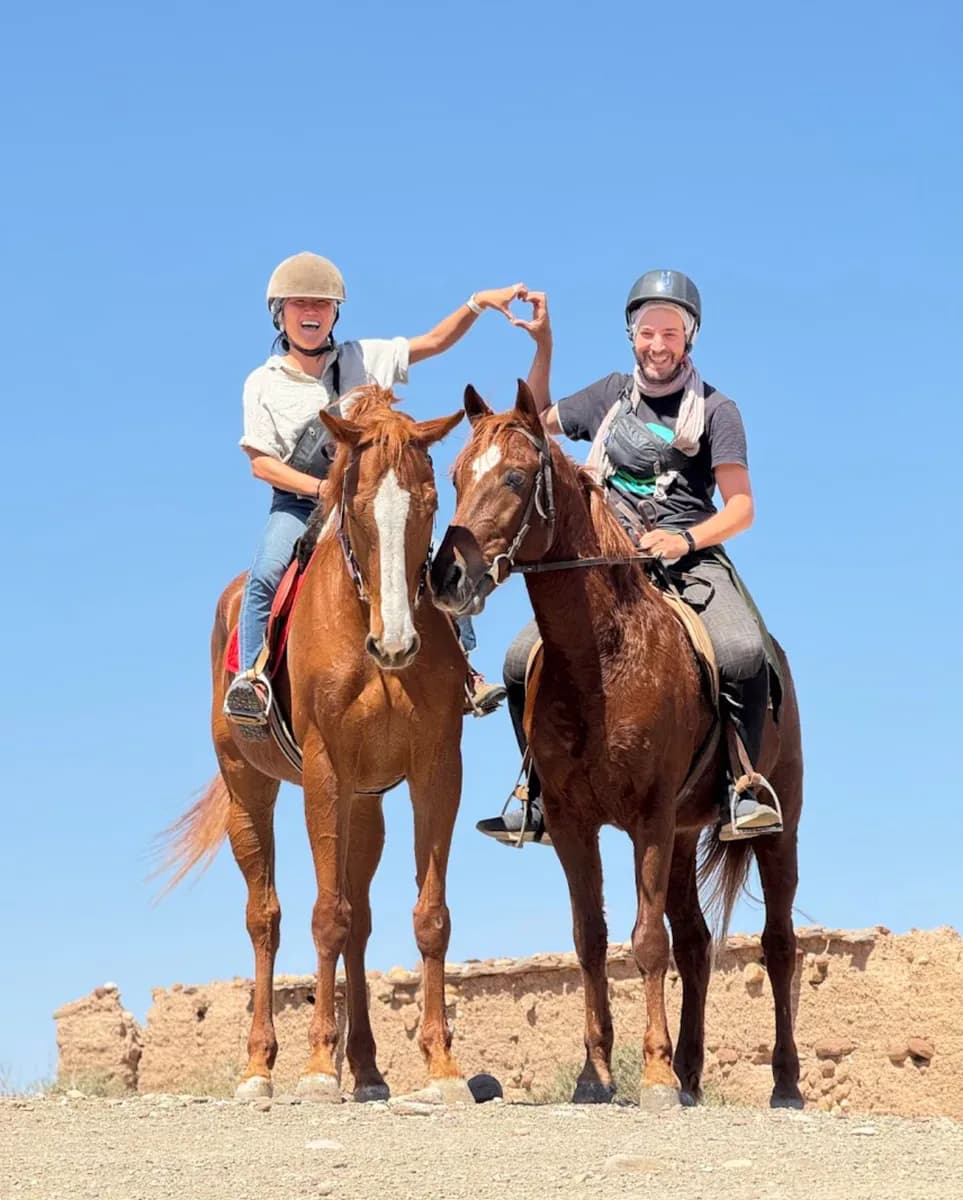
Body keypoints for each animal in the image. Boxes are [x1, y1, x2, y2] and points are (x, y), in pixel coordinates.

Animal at [161, 386, 473, 1103]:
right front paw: (315, 1067)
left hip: (367, 807)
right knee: (266, 917)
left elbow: (429, 915)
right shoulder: (326, 772)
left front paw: (441, 1067)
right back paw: (260, 1067)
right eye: (357, 506)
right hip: (251, 792)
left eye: (430, 502)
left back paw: (367, 1069)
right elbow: (325, 915)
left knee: (359, 922)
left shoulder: (436, 769)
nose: (396, 644)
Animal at [430, 380, 804, 1110]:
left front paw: (653, 1076)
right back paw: (690, 1074)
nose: (446, 575)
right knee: (696, 942)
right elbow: (592, 939)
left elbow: (645, 940)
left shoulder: (648, 818)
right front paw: (595, 1076)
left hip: (778, 829)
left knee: (777, 943)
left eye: (514, 477)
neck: (601, 657)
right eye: (455, 476)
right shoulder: (574, 824)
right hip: (687, 832)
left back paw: (783, 1084)